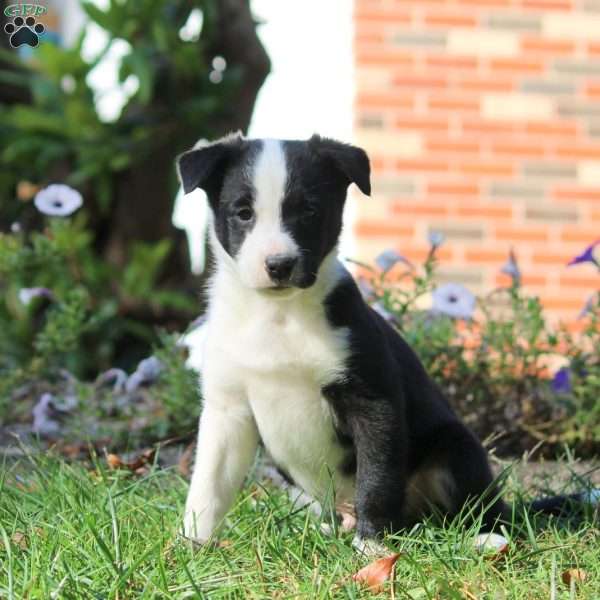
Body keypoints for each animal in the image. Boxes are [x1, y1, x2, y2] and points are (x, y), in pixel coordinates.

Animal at [178, 134, 592, 552]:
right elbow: (208, 485)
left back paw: (484, 536)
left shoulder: (373, 403)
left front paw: (373, 547)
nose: (279, 265)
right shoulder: (228, 409)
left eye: (309, 211)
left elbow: (376, 479)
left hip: (454, 449)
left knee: (477, 508)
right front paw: (192, 545)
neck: (278, 315)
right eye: (243, 212)